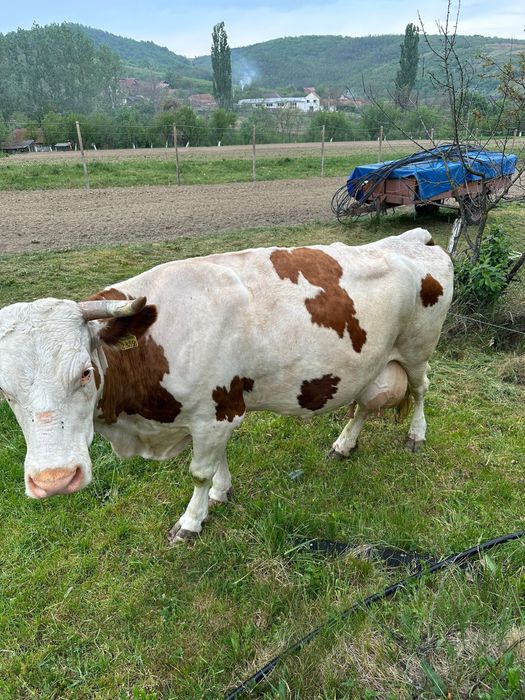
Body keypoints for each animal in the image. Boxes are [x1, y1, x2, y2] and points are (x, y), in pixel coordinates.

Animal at [0, 228, 453, 542]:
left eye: (84, 372)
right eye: (5, 391)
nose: (54, 480)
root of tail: (414, 236)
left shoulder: (216, 413)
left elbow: (199, 472)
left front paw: (192, 520)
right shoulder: (212, 414)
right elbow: (216, 464)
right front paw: (221, 492)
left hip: (418, 348)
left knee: (421, 389)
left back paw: (416, 434)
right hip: (368, 365)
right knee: (362, 405)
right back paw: (344, 444)